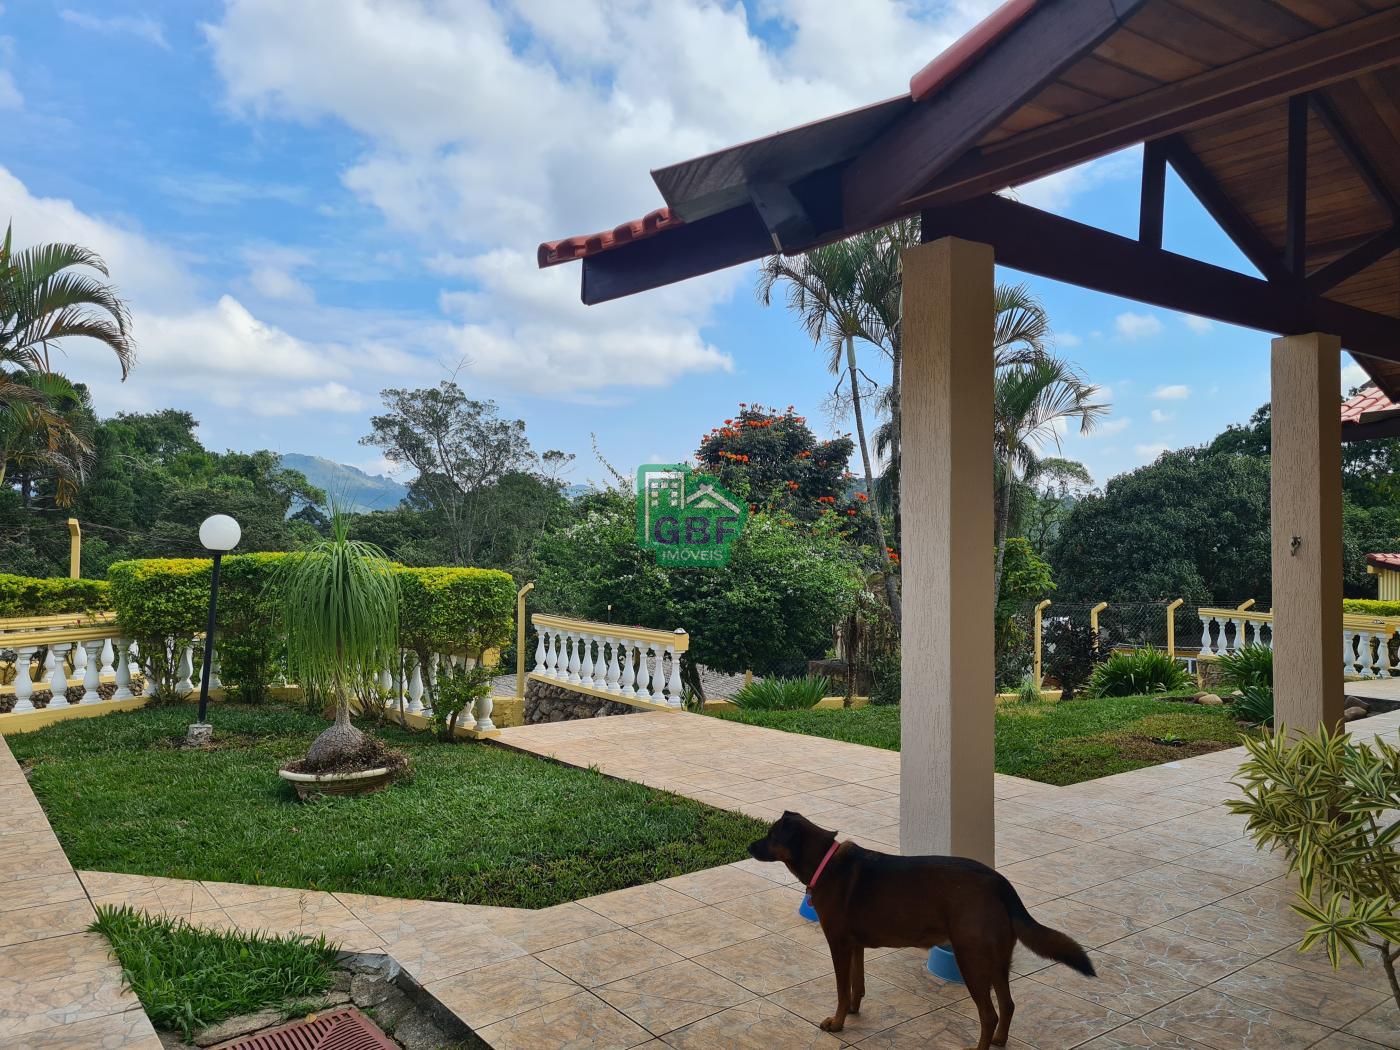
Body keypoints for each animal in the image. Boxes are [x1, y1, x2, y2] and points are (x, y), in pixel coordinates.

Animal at [756, 812, 1092, 1050]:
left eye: (771, 834)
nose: (749, 846)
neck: (824, 861)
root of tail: (999, 882)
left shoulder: (838, 944)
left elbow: (841, 988)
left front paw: (837, 1022)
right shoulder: (855, 946)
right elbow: (857, 983)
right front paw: (853, 1009)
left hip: (971, 959)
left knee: (990, 1014)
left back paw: (980, 1045)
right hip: (997, 959)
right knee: (1008, 1005)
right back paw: (999, 1040)